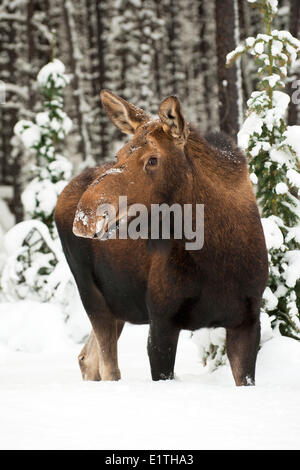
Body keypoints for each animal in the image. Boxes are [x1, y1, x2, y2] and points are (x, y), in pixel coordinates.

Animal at [55, 90, 268, 388]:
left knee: (88, 358)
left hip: (119, 304)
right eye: (119, 155)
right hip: (92, 293)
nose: (85, 215)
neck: (217, 257)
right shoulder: (161, 319)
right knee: (109, 368)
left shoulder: (247, 320)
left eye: (152, 159)